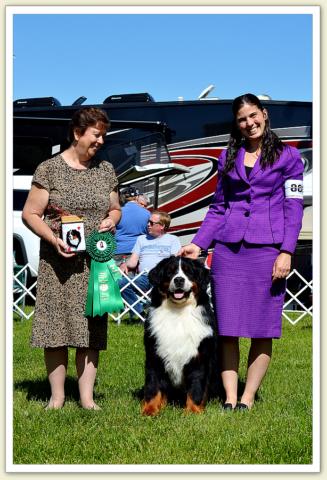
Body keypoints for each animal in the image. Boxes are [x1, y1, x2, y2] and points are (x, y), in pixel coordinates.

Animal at [142, 255, 219, 416]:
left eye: (188, 272)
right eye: (170, 272)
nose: (179, 280)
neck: (178, 312)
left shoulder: (199, 358)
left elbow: (196, 388)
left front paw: (192, 411)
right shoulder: (154, 355)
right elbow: (153, 386)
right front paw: (150, 410)